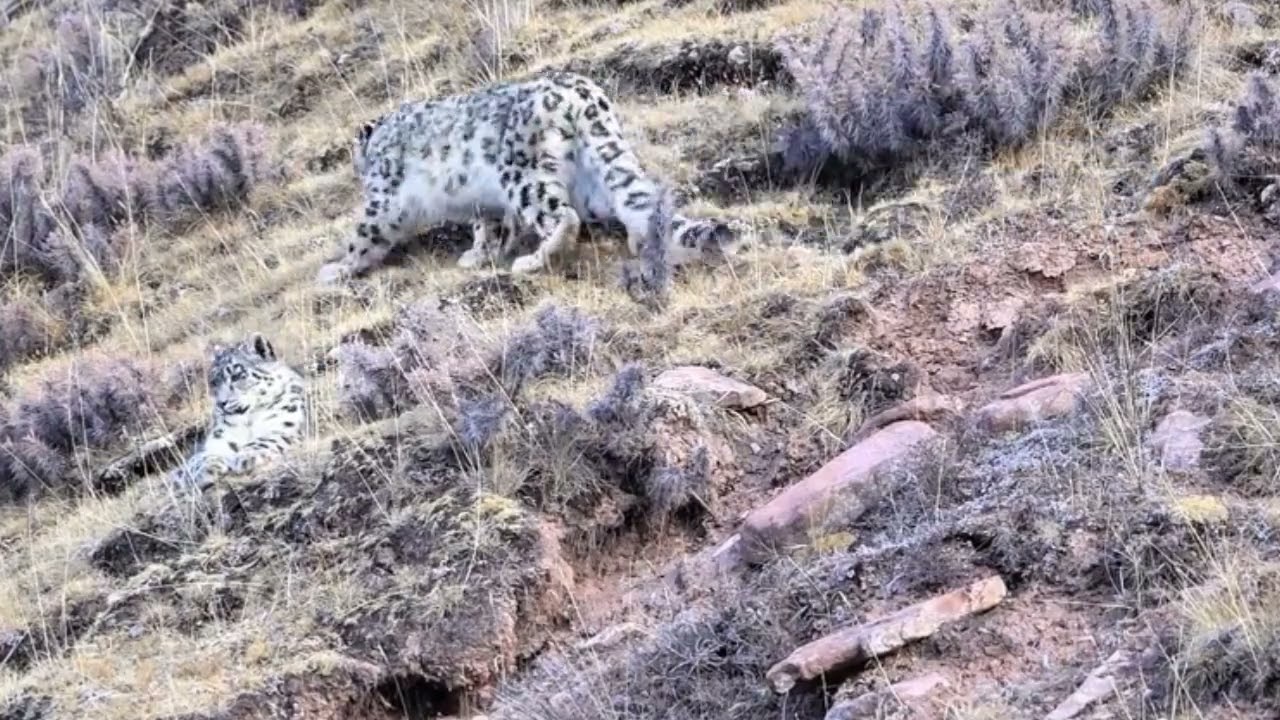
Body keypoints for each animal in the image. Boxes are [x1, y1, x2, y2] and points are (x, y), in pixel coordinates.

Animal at [168, 333, 308, 488]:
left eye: (236, 376)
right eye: (214, 381)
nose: (222, 403)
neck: (247, 421)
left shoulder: (286, 425)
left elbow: (266, 439)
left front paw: (245, 456)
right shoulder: (218, 440)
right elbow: (198, 458)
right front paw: (205, 468)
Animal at [315, 71, 737, 285]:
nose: (355, 167)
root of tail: (583, 91)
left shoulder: (384, 198)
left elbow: (366, 233)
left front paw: (338, 267)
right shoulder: (484, 205)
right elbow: (490, 228)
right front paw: (478, 254)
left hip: (523, 173)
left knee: (563, 216)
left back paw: (536, 260)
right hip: (591, 178)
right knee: (632, 201)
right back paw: (643, 241)